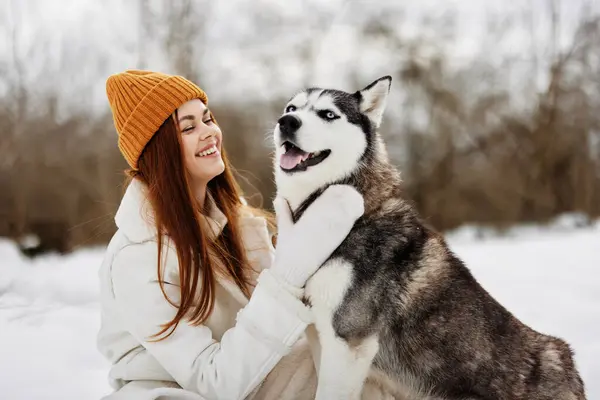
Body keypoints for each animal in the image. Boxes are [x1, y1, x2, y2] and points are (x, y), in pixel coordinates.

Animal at [272, 76, 584, 398]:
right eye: (291, 108)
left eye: (328, 114)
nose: (287, 122)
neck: (357, 215)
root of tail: (570, 371)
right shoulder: (322, 338)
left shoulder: (347, 342)